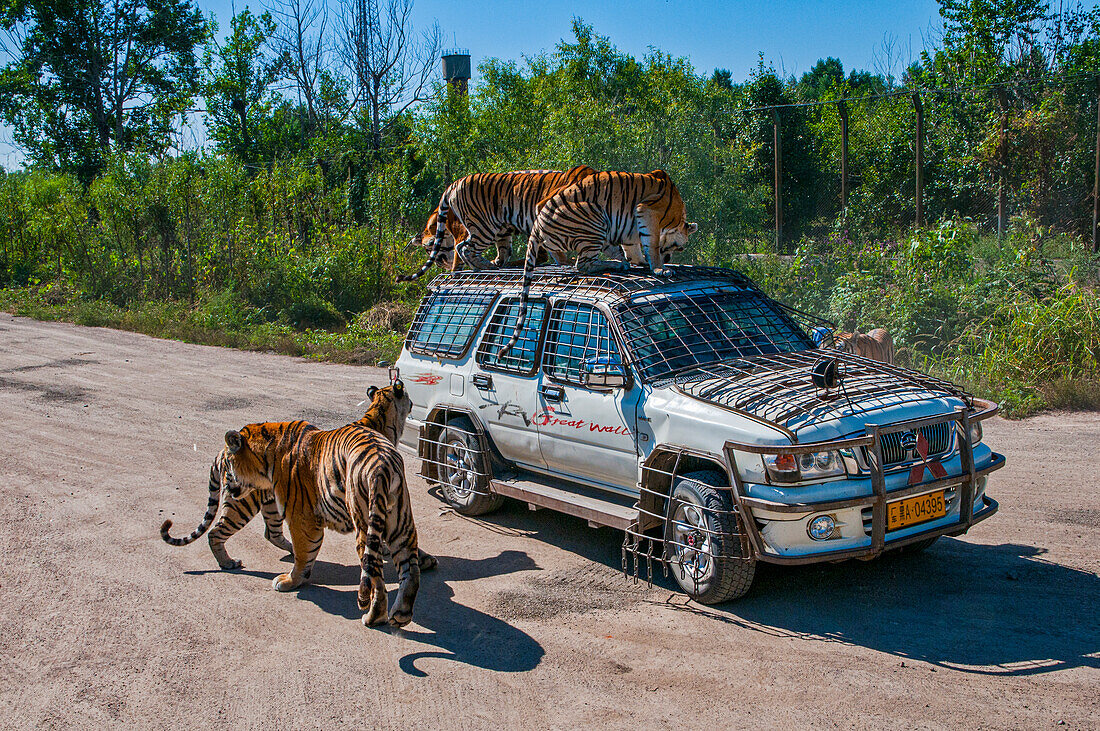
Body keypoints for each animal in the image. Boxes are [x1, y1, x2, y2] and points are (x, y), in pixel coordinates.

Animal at [162, 378, 429, 624]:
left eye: (230, 464)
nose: (228, 482)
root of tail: (381, 464)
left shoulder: (300, 514)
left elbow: (304, 552)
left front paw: (290, 579)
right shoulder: (302, 516)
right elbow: (305, 553)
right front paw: (293, 580)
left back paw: (384, 616)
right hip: (250, 505)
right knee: (219, 532)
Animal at [400, 164, 598, 279]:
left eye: (429, 247)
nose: (441, 264)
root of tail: (454, 183)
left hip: (490, 228)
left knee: (467, 249)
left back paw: (486, 265)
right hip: (485, 227)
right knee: (465, 249)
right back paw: (484, 266)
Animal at [499, 169, 695, 356]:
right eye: (679, 248)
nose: (668, 259)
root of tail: (538, 224)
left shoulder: (632, 231)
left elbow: (633, 248)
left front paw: (642, 262)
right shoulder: (648, 212)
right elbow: (652, 244)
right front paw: (660, 269)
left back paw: (616, 261)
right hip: (595, 217)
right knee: (583, 264)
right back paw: (617, 264)